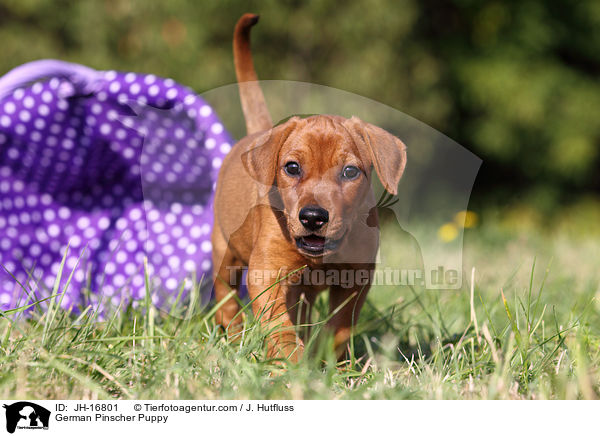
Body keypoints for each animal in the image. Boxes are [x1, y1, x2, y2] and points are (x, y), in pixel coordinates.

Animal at [212, 13, 408, 362]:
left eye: (349, 171)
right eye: (292, 168)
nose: (314, 217)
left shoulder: (355, 279)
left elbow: (340, 327)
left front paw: (327, 363)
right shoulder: (267, 274)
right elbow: (279, 326)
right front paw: (291, 362)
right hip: (225, 251)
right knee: (226, 301)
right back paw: (234, 340)